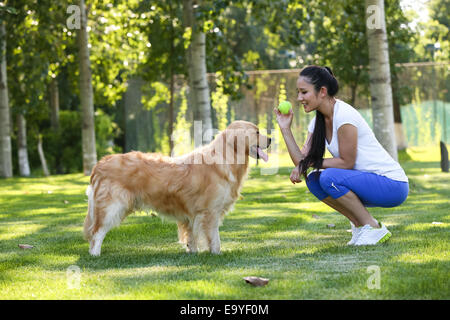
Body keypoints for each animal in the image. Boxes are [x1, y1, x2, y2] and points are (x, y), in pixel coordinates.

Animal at [82, 121, 268, 256]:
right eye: (257, 132)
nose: (271, 139)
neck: (226, 157)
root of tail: (99, 164)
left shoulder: (192, 214)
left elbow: (191, 236)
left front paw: (193, 252)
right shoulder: (210, 212)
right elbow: (214, 238)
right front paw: (217, 254)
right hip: (112, 207)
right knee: (97, 232)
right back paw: (95, 254)